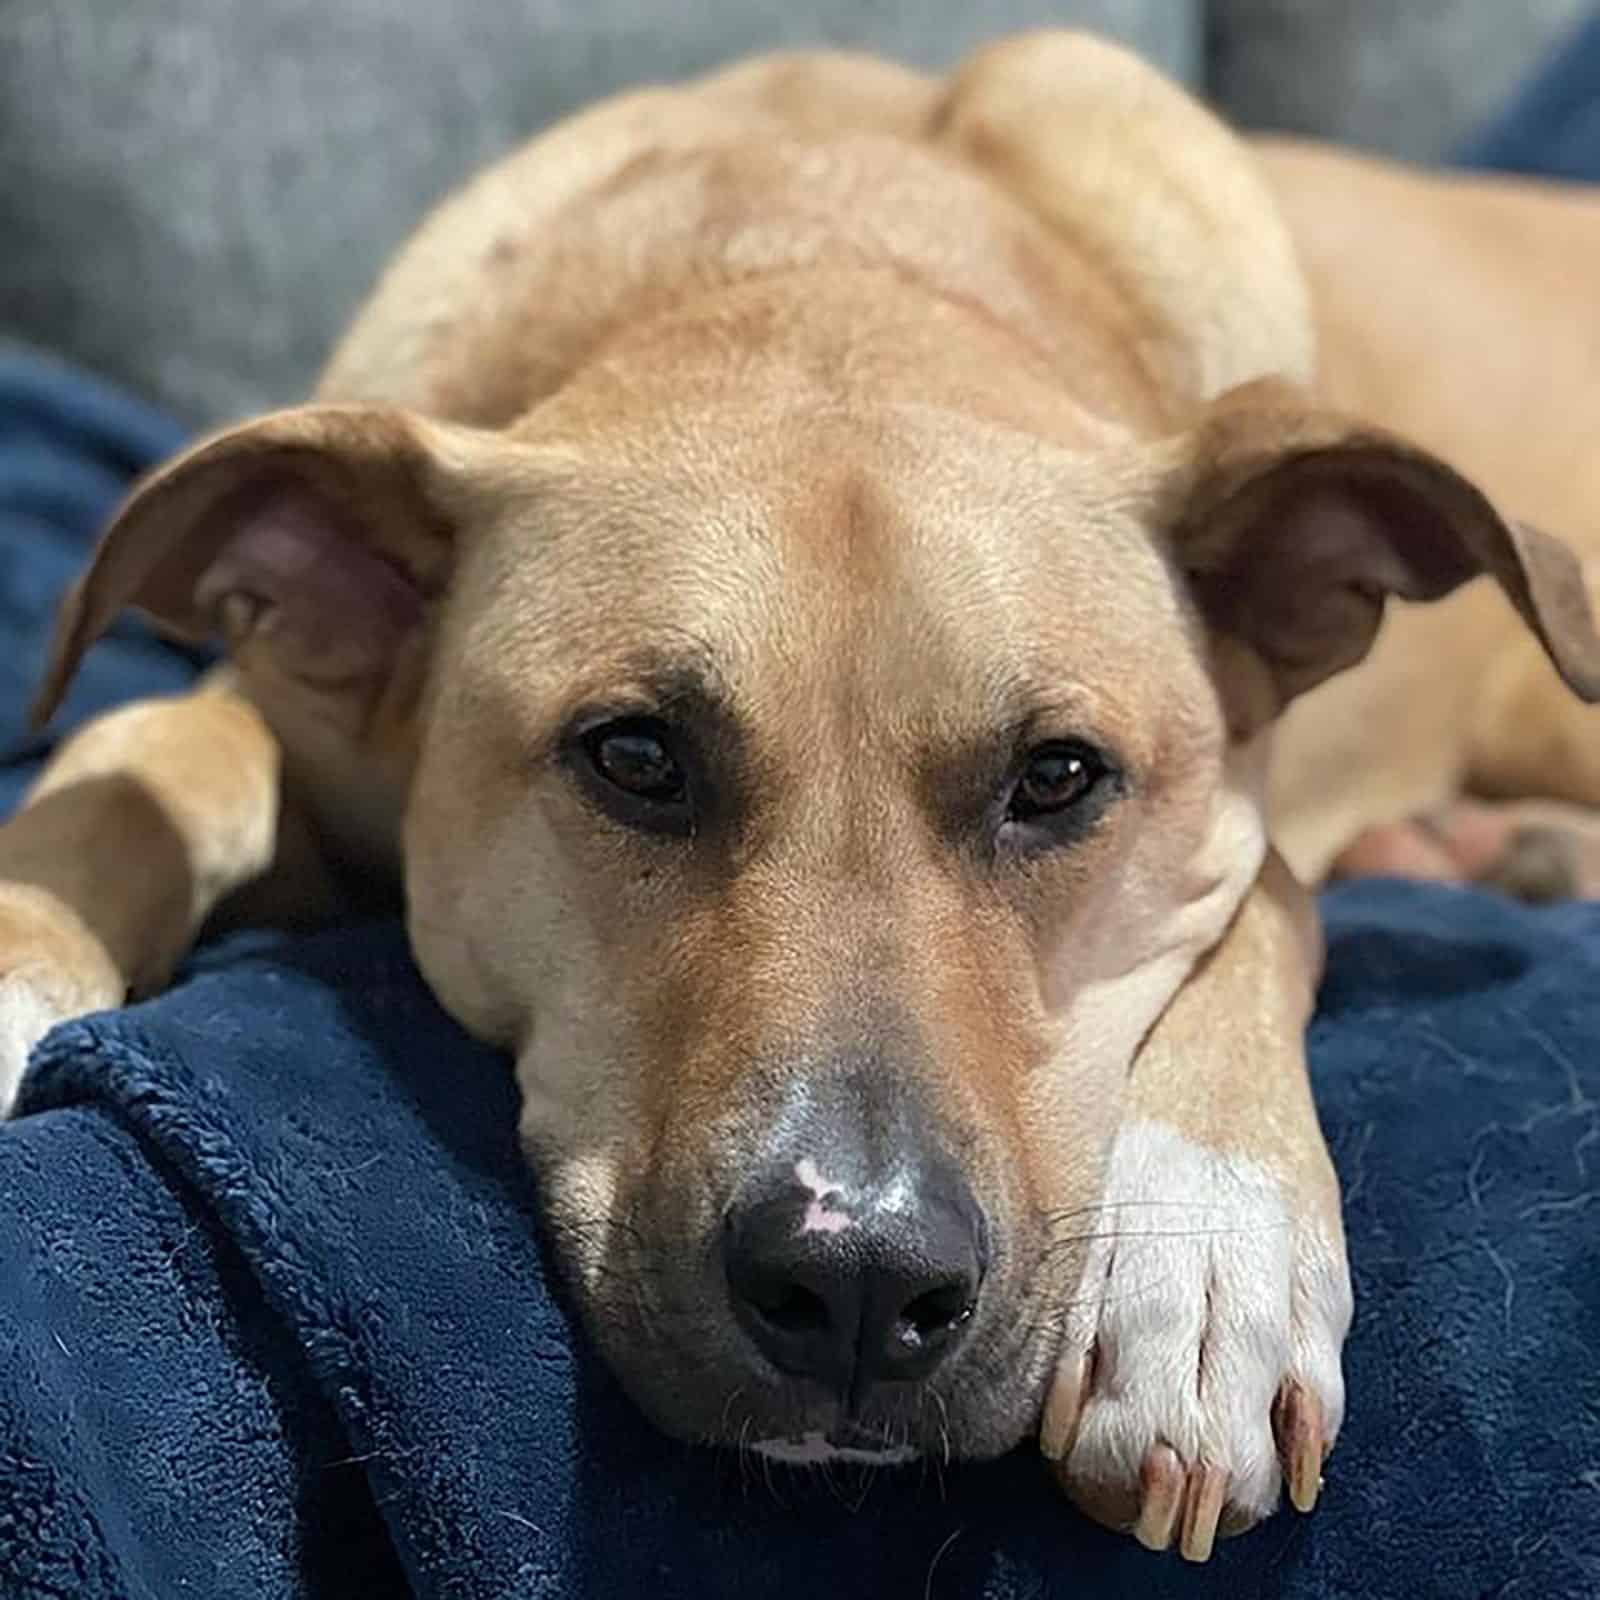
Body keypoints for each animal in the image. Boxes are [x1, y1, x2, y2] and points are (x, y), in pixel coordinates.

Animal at [3, 34, 1600, 1561]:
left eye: (1058, 778)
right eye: (634, 755)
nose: (858, 1284)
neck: (812, 272)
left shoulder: (1233, 817)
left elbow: (1263, 896)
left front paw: (1204, 1255)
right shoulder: (275, 706)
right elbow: (142, 758)